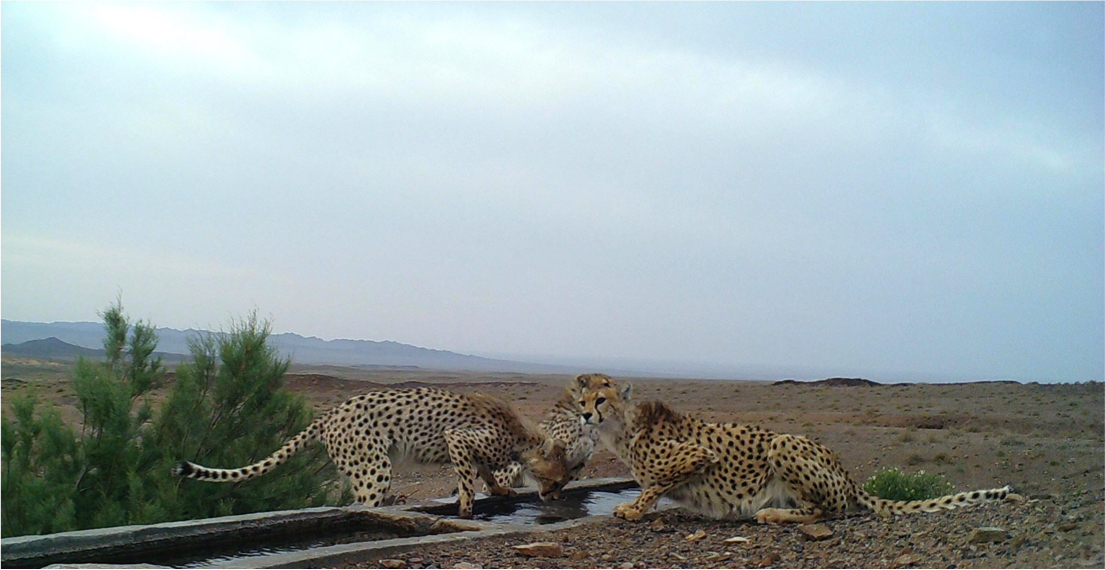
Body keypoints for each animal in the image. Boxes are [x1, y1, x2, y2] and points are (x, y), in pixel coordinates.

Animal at [174, 387, 572, 518]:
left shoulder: (474, 451)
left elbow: (485, 473)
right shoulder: (457, 438)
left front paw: (500, 489)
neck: (522, 439)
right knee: (364, 502)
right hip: (375, 467)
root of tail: (330, 413)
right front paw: (466, 510)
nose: (553, 497)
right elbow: (466, 482)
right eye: (558, 480)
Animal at [575, 374, 1023, 524]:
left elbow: (654, 484)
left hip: (782, 442)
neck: (623, 427)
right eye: (582, 398)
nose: (584, 414)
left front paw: (632, 509)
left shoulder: (698, 457)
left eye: (602, 398)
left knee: (830, 509)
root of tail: (846, 472)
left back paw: (773, 513)